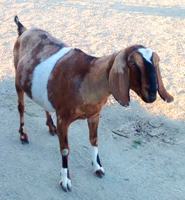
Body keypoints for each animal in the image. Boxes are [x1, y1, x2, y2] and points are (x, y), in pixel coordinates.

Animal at [13, 15, 173, 191]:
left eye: (157, 63)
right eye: (132, 63)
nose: (152, 94)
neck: (87, 79)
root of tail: (24, 30)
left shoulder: (95, 114)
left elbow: (94, 140)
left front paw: (98, 168)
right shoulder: (63, 118)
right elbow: (65, 149)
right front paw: (65, 180)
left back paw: (51, 127)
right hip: (17, 79)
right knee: (21, 107)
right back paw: (23, 135)